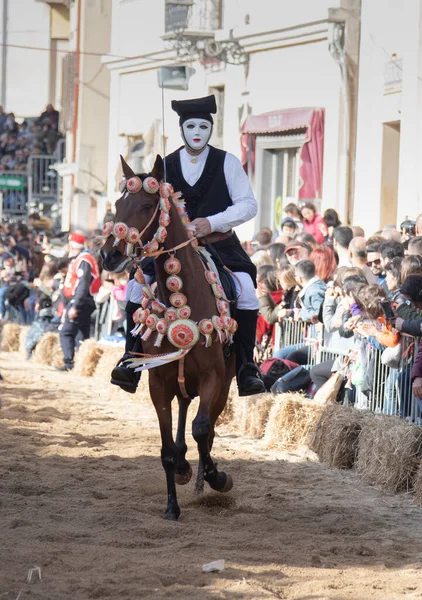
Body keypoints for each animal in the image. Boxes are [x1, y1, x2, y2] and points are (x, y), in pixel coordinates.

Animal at [101, 155, 236, 520]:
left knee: (207, 428)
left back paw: (204, 479)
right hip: (181, 383)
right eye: (117, 204)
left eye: (147, 205)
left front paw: (217, 477)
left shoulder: (214, 377)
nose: (108, 255)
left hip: (223, 386)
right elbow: (165, 449)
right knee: (183, 425)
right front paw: (172, 506)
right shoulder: (158, 382)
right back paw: (185, 469)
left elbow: (202, 429)